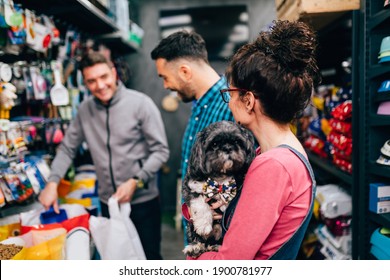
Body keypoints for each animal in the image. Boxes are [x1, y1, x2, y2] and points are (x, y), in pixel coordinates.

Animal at [182, 120, 256, 258]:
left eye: (237, 141)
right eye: (214, 144)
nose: (227, 148)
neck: (221, 178)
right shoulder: (191, 187)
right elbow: (199, 203)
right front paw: (204, 224)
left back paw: (216, 246)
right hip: (190, 226)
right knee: (198, 238)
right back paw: (195, 247)